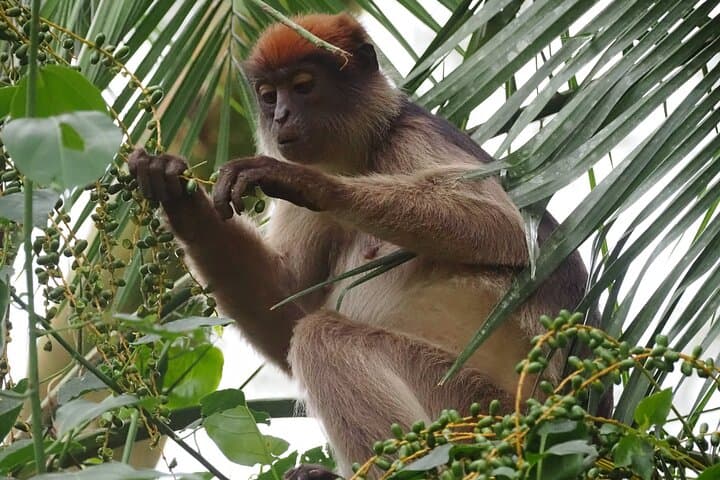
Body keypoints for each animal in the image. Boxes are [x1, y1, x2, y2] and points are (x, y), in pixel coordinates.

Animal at [128, 13, 596, 479]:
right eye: (268, 96)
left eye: (303, 86)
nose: (280, 116)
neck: (365, 155)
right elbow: (287, 300)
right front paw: (174, 192)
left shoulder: (412, 136)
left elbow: (507, 229)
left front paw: (309, 184)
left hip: (476, 410)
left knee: (322, 337)